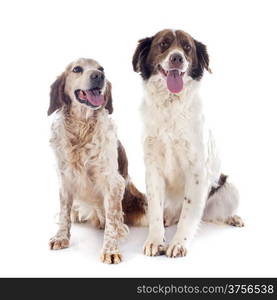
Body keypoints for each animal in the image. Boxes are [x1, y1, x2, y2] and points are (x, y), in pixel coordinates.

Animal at [47, 58, 147, 262]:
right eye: (77, 69)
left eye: (102, 69)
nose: (99, 76)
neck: (82, 127)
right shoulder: (65, 179)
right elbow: (64, 214)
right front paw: (61, 237)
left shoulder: (113, 182)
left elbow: (112, 220)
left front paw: (110, 250)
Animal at [133, 28, 243, 258]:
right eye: (164, 44)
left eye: (187, 48)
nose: (177, 58)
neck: (171, 106)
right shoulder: (153, 169)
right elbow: (155, 210)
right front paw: (155, 240)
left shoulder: (197, 171)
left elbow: (189, 214)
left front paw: (178, 243)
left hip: (229, 187)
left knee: (213, 214)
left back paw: (233, 218)